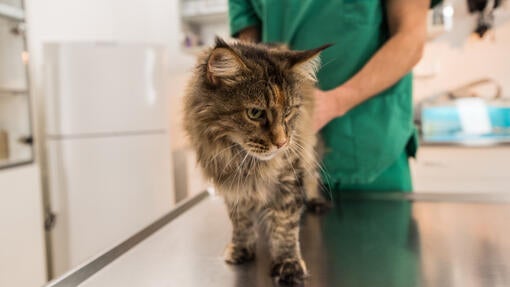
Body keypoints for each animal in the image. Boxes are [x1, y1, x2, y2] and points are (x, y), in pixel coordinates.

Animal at [183, 37, 330, 286]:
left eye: (288, 112)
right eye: (255, 113)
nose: (282, 143)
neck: (245, 161)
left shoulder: (288, 178)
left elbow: (285, 227)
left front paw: (288, 264)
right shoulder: (231, 184)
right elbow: (240, 220)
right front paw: (242, 248)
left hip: (308, 153)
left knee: (312, 177)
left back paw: (315, 200)